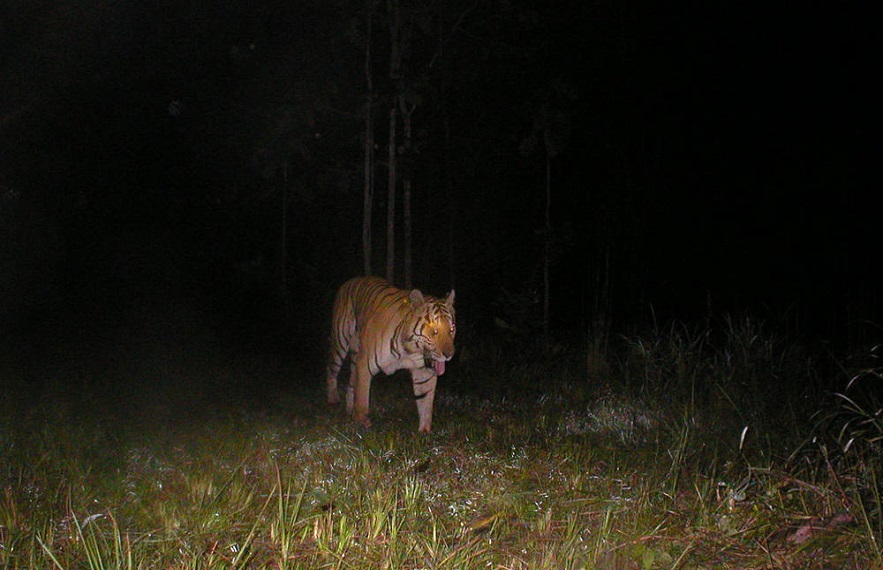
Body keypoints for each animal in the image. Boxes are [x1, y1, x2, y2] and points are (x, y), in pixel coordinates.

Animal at [328, 276, 460, 430]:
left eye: (452, 329)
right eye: (434, 331)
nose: (449, 355)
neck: (410, 349)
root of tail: (351, 280)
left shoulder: (424, 372)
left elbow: (426, 403)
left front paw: (425, 432)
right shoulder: (364, 364)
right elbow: (362, 396)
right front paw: (361, 424)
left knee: (351, 383)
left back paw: (349, 410)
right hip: (340, 342)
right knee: (331, 369)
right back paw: (333, 400)